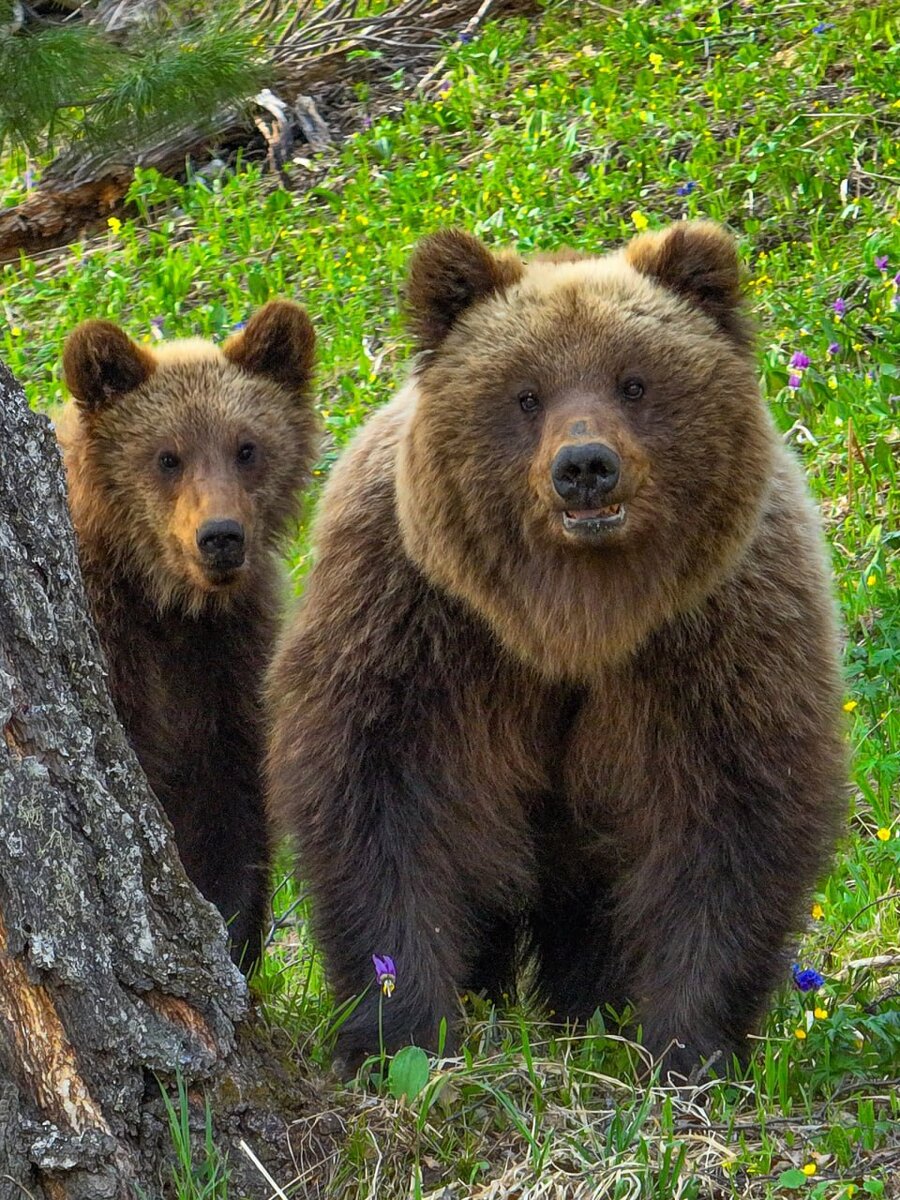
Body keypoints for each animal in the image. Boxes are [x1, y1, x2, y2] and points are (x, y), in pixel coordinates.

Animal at [60, 304, 321, 969]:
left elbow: (230, 803)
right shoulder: (119, 643)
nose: (220, 535)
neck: (170, 601)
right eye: (167, 456)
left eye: (246, 447)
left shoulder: (227, 659)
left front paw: (231, 933)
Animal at [266, 223, 844, 1070]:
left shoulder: (716, 628)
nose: (585, 467)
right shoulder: (416, 613)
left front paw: (689, 1045)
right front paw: (401, 1027)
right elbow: (384, 799)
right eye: (526, 394)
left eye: (634, 382)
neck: (572, 618)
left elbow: (731, 814)